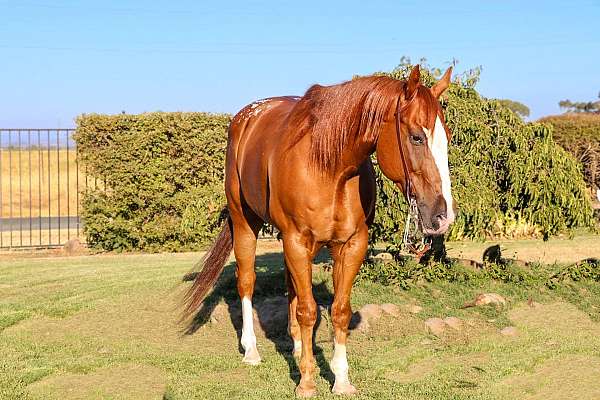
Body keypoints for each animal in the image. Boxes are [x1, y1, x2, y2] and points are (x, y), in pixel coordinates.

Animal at [183, 65, 454, 396]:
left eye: (447, 138)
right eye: (416, 137)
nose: (443, 216)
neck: (330, 166)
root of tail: (245, 118)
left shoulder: (351, 245)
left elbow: (338, 310)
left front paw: (341, 379)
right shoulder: (297, 240)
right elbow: (308, 311)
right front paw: (307, 381)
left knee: (291, 288)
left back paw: (299, 348)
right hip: (245, 221)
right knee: (246, 282)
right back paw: (252, 350)